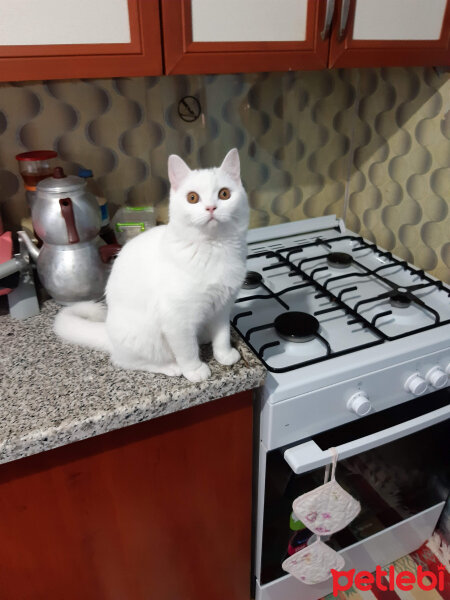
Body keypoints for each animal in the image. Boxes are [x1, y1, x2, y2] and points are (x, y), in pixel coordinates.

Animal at [54, 150, 250, 384]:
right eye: (192, 198)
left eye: (224, 194)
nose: (211, 208)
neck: (214, 247)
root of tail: (109, 332)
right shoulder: (177, 319)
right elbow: (187, 350)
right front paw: (194, 370)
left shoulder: (222, 307)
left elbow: (222, 335)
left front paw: (224, 355)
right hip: (144, 338)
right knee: (126, 361)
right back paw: (171, 367)